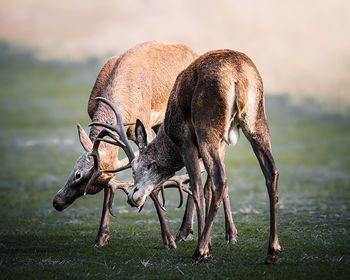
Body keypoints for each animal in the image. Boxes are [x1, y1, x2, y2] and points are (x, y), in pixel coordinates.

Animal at [53, 40, 200, 248]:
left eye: (78, 174)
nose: (57, 203)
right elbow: (113, 182)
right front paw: (101, 236)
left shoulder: (144, 123)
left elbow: (150, 183)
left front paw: (168, 239)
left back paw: (183, 231)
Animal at [102, 49, 280, 264]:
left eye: (136, 168)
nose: (132, 198)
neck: (169, 135)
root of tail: (240, 78)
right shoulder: (222, 143)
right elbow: (206, 188)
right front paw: (214, 240)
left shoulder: (185, 140)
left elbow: (196, 187)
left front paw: (206, 247)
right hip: (256, 120)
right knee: (271, 172)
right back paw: (273, 250)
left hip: (206, 126)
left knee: (220, 180)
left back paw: (199, 251)